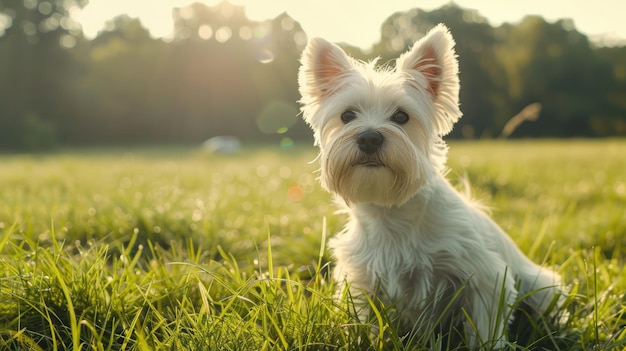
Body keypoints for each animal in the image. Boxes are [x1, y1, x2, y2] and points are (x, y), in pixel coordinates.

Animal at [296, 23, 560, 348]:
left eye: (401, 116)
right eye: (347, 115)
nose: (369, 137)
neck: (392, 211)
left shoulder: (486, 279)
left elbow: (485, 332)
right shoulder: (365, 283)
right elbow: (369, 326)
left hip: (541, 288)